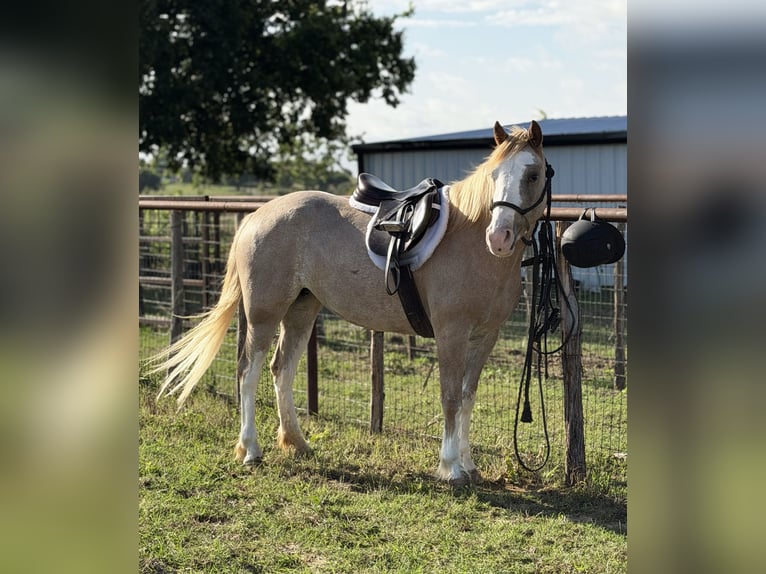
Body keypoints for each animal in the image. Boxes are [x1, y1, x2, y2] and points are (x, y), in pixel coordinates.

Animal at [151, 120, 548, 486]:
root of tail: (256, 216)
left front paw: (468, 465)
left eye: (533, 174)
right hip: (264, 313)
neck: (470, 243)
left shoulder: (485, 336)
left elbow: (467, 397)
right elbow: (450, 396)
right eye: (494, 174)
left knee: (281, 370)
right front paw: (450, 468)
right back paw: (250, 449)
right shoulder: (451, 333)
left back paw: (297, 443)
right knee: (248, 372)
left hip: (301, 310)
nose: (499, 237)